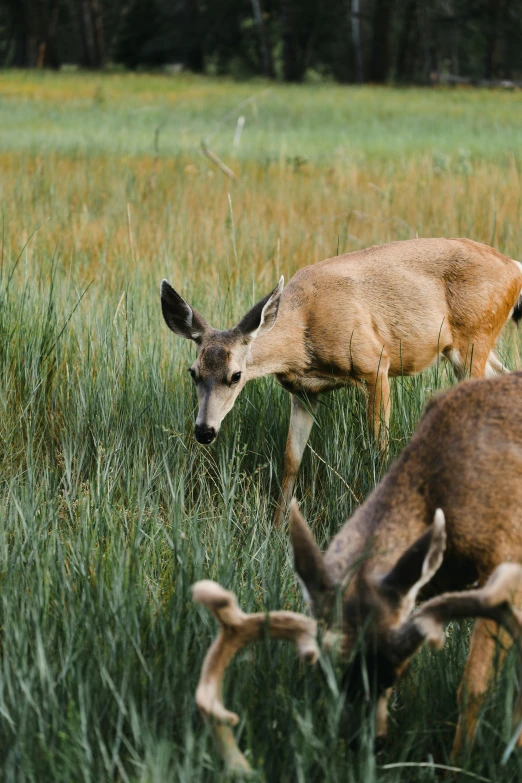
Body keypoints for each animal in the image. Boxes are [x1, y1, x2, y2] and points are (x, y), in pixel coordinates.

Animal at [159, 236, 520, 524]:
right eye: (193, 372)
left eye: (236, 375)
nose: (204, 431)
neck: (301, 337)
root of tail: (514, 267)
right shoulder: (303, 392)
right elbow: (291, 459)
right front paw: (277, 526)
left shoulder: (375, 363)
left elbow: (378, 446)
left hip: (473, 339)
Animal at [192, 376, 522, 772]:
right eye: (327, 673)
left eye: (397, 670)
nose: (368, 744)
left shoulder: (504, 559)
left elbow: (473, 685)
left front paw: (459, 764)